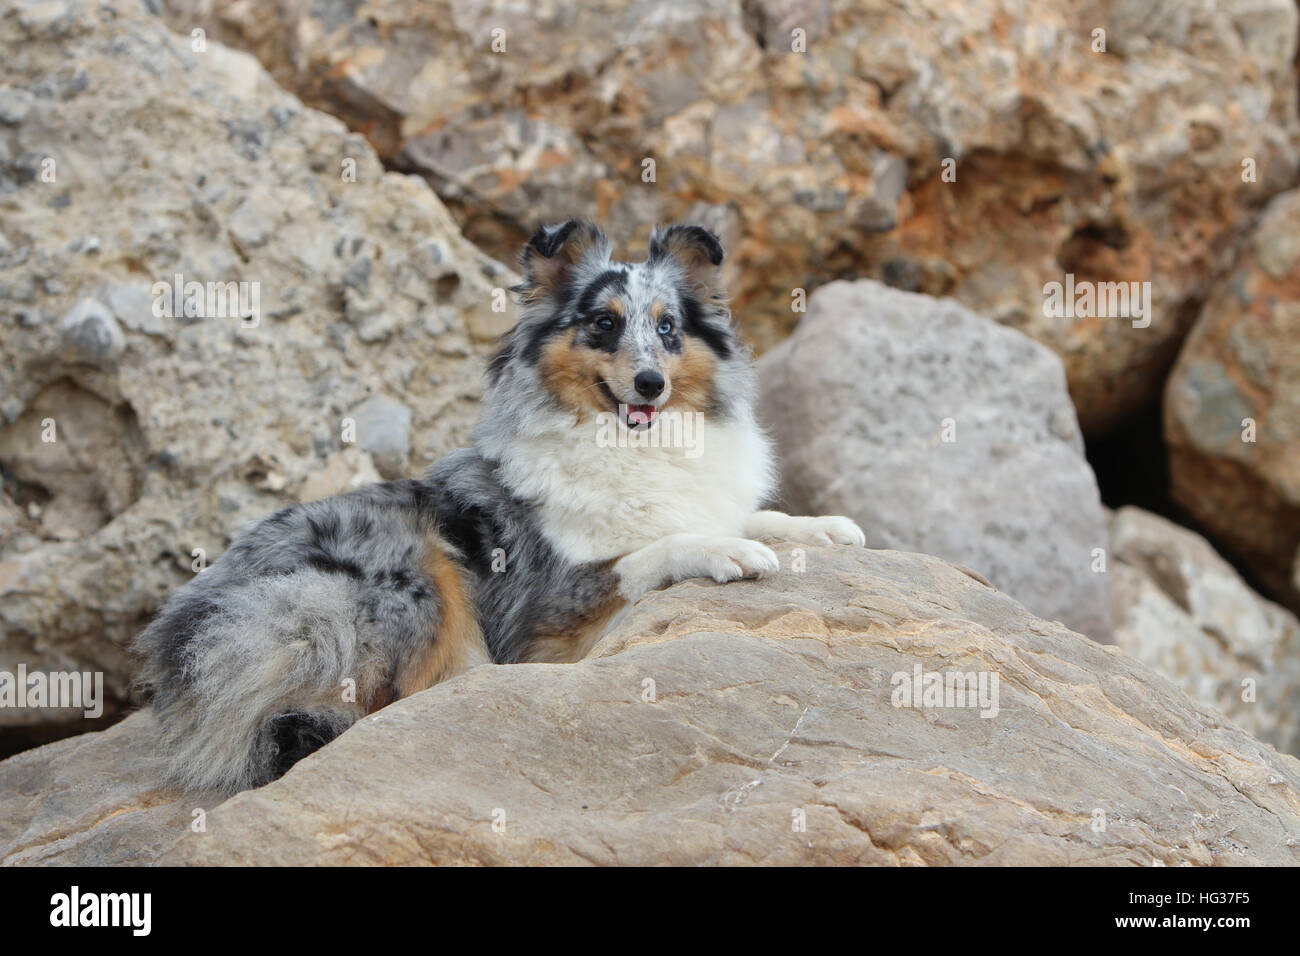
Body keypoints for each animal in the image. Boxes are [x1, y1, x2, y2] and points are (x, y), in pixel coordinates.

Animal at [134, 222, 863, 790]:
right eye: (604, 323)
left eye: (668, 328)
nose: (650, 384)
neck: (631, 444)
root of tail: (179, 644)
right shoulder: (551, 612)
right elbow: (654, 549)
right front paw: (728, 551)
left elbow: (748, 514)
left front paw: (825, 528)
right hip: (403, 576)